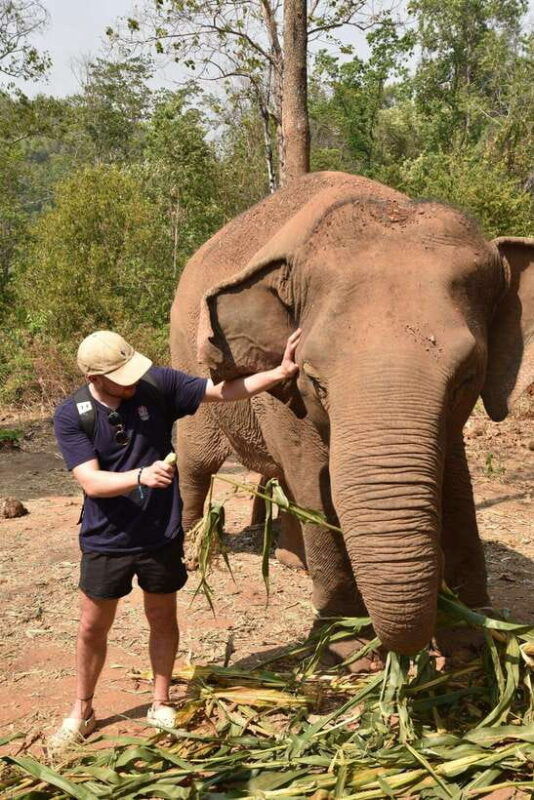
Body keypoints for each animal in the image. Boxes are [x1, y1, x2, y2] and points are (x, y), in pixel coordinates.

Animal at [170, 171, 534, 660]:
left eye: (466, 377)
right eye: (314, 379)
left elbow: (456, 482)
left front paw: (474, 643)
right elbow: (311, 479)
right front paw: (346, 649)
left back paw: (292, 562)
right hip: (186, 354)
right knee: (199, 460)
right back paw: (194, 553)